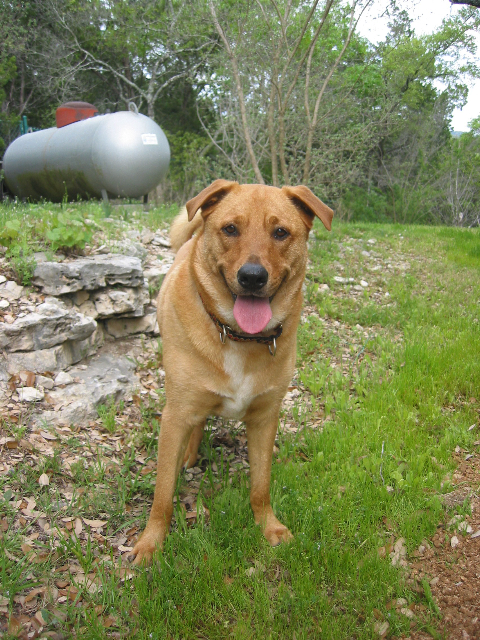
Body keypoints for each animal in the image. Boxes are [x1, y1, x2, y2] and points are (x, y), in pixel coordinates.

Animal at [131, 180, 334, 564]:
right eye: (230, 229)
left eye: (280, 232)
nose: (252, 277)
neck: (238, 336)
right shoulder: (176, 414)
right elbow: (162, 495)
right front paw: (151, 543)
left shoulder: (265, 419)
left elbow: (260, 486)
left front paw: (268, 525)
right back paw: (189, 454)